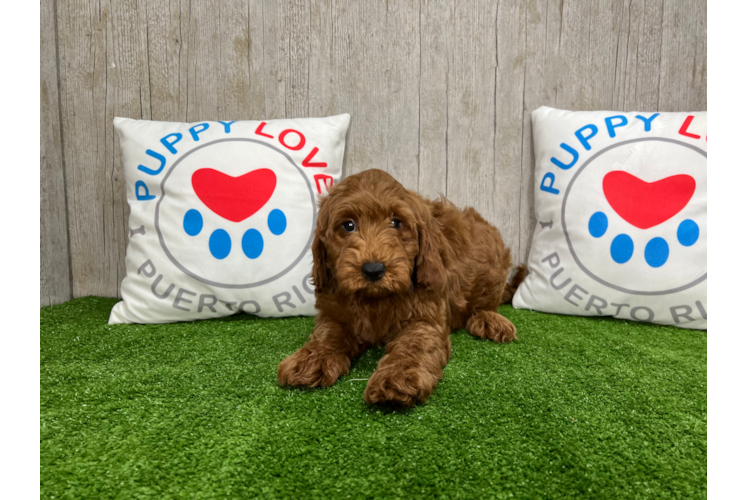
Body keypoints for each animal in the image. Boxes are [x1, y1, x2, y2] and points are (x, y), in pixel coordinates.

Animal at [276, 168, 524, 406]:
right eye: (348, 226)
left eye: (396, 223)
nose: (373, 269)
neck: (374, 298)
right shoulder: (333, 311)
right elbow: (328, 334)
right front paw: (310, 359)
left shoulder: (425, 318)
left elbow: (414, 346)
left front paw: (397, 379)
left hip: (492, 264)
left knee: (486, 302)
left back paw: (489, 320)